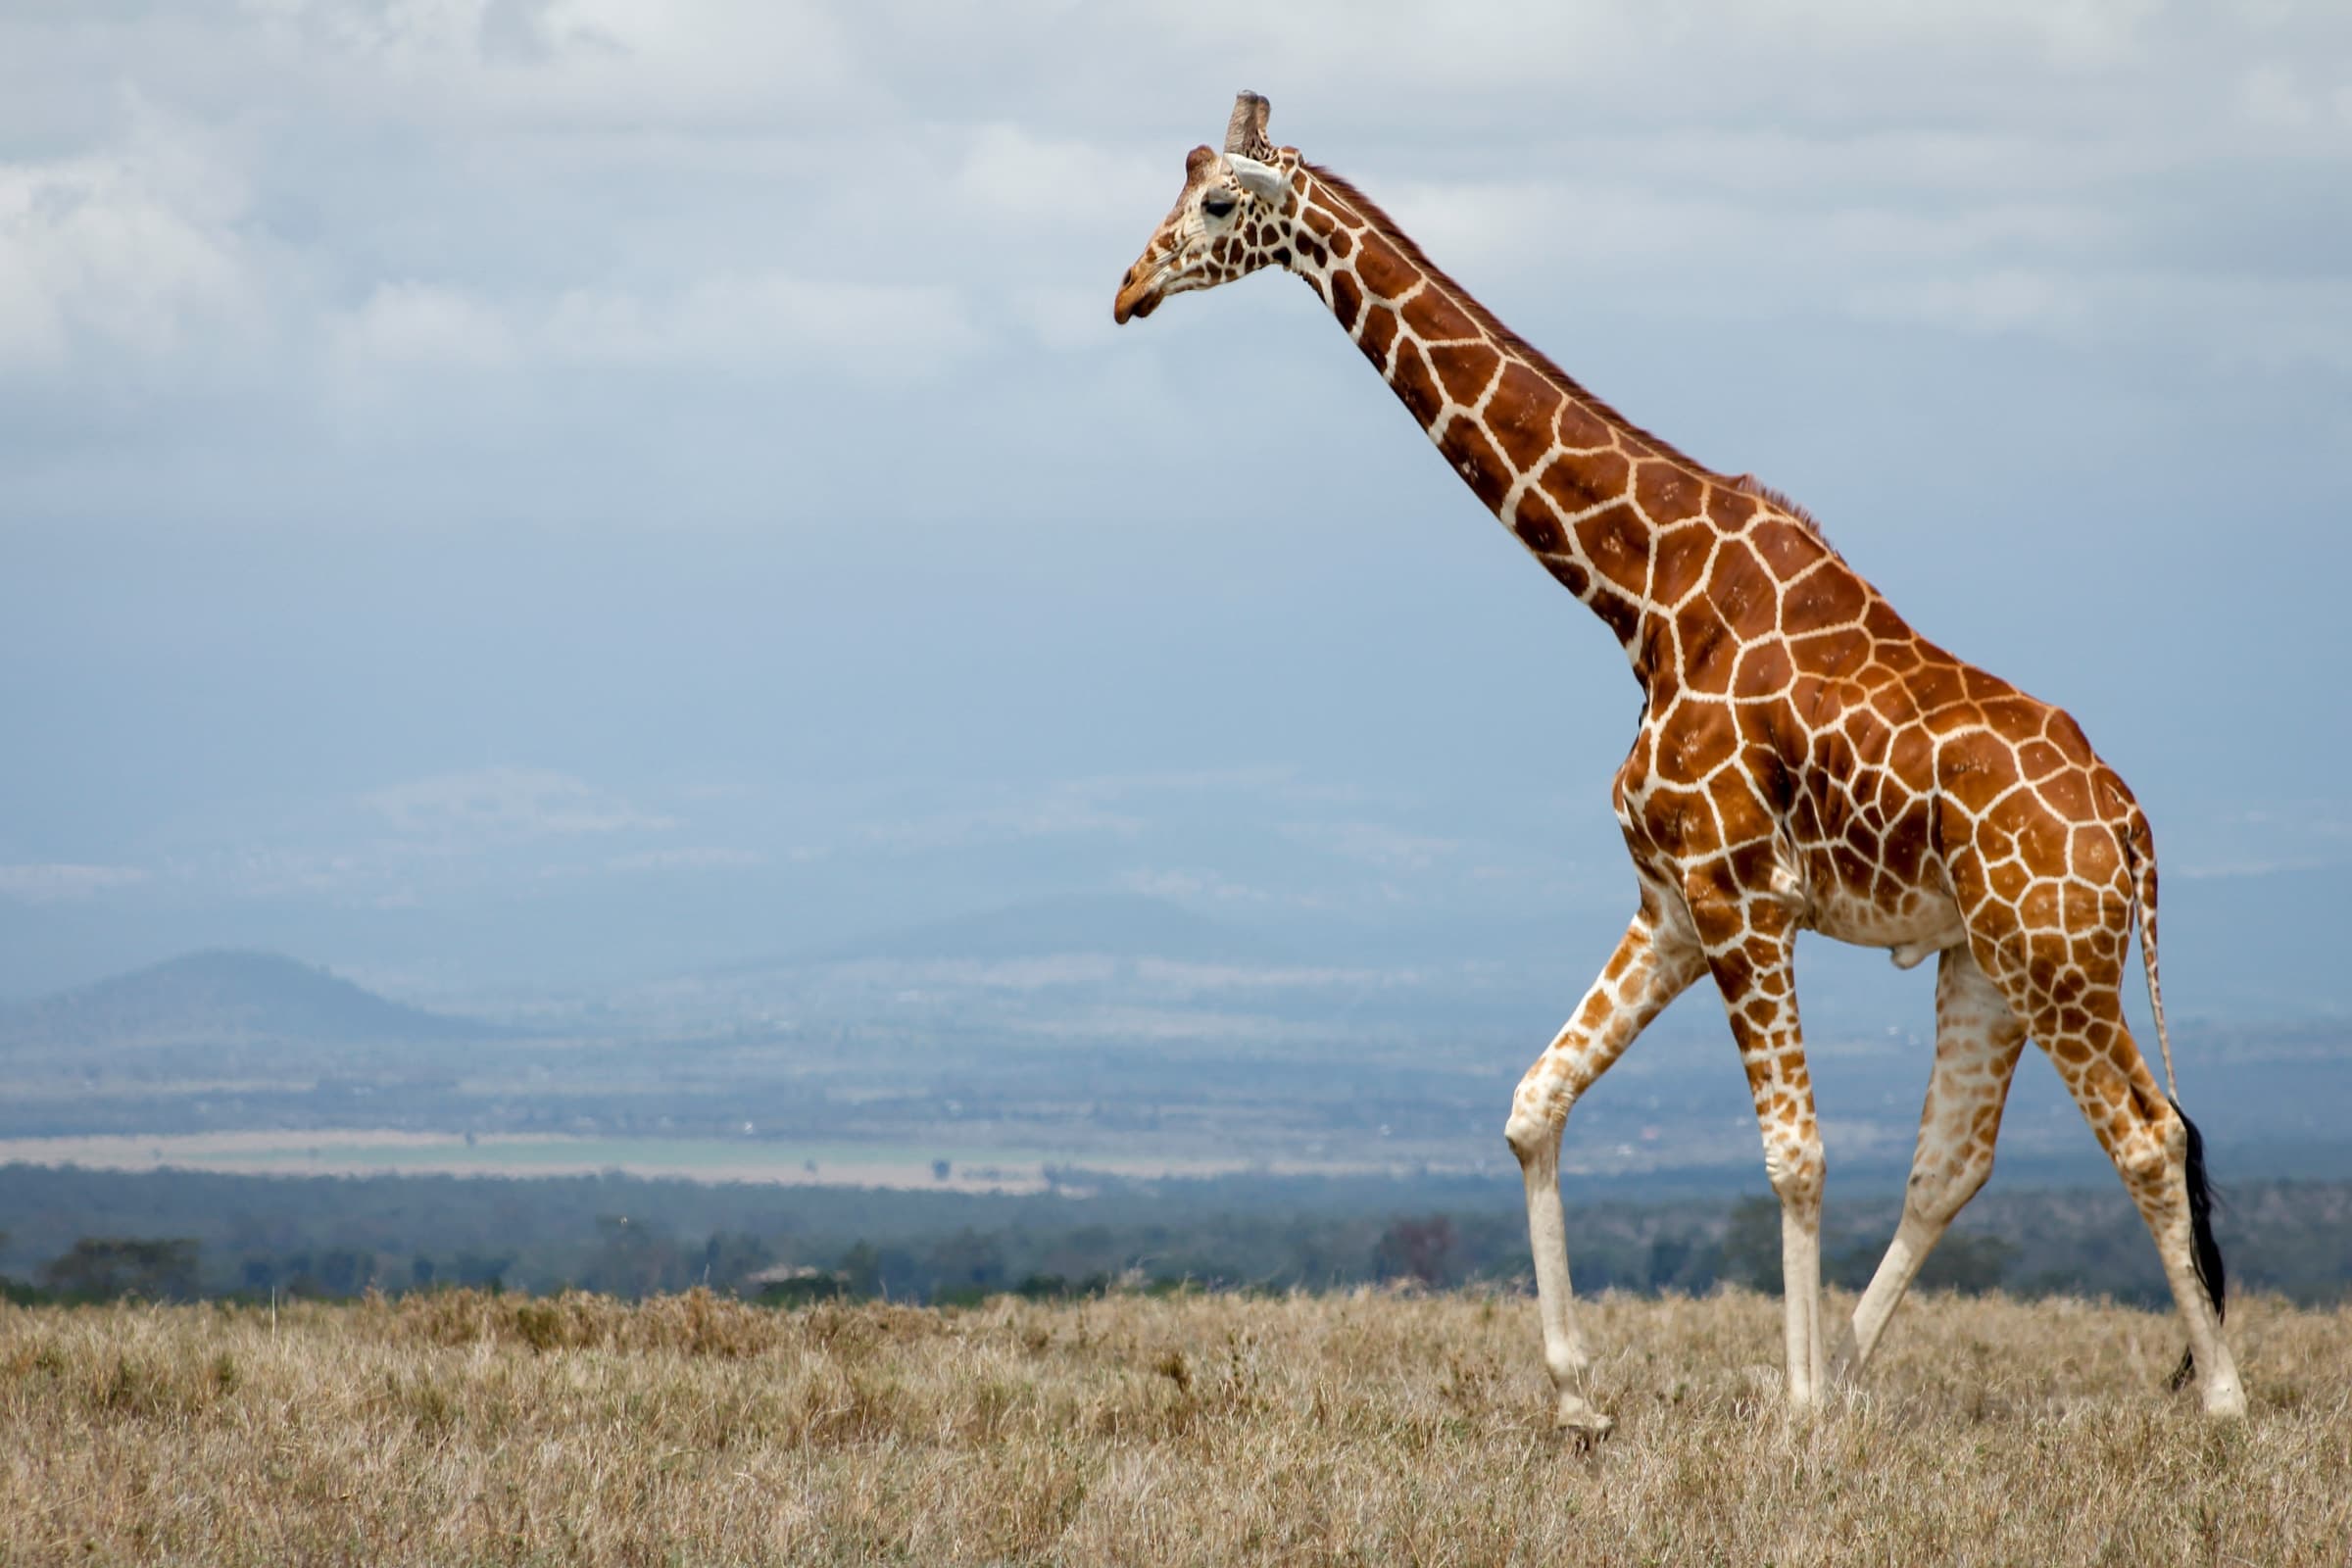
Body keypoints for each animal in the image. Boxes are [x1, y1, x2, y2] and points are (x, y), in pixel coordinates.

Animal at [1113, 93, 2244, 1435]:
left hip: (2057, 957)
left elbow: (1795, 1152)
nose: (1127, 287)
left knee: (2143, 1139)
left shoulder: (1740, 893)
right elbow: (1535, 1102)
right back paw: (1850, 1374)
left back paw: (2217, 1399)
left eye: (1217, 203)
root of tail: (2129, 823)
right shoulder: (1670, 903)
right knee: (1960, 1163)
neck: (1642, 593)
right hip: (1991, 961)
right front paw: (1582, 1396)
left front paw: (1793, 1416)